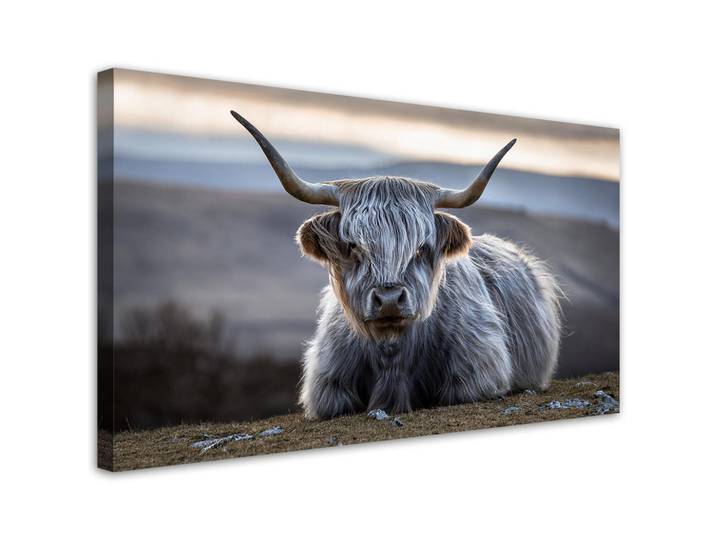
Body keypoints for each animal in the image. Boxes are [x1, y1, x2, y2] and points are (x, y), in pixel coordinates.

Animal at [231, 110, 562, 420]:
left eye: (421, 247)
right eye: (354, 246)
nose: (389, 299)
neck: (391, 354)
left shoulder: (478, 374)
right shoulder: (327, 387)